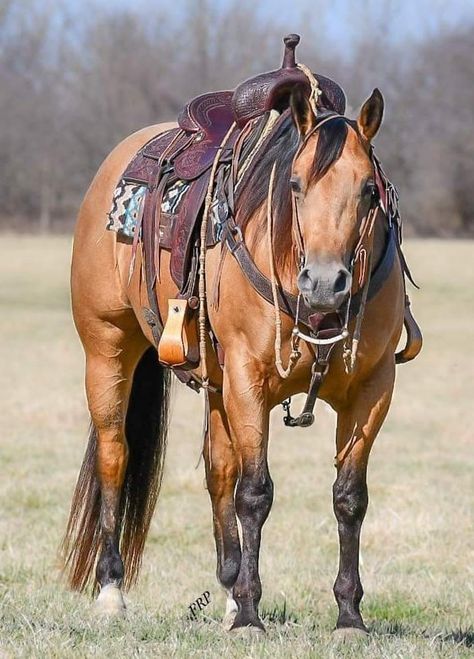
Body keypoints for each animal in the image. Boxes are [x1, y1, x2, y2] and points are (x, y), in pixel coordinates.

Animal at [62, 33, 422, 636]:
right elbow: (255, 493)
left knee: (217, 470)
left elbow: (348, 497)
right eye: (295, 185)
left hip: (215, 381)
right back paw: (113, 591)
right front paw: (251, 613)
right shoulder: (250, 382)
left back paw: (228, 588)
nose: (325, 283)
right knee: (116, 454)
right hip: (106, 348)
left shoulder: (373, 389)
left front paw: (348, 613)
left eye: (370, 191)